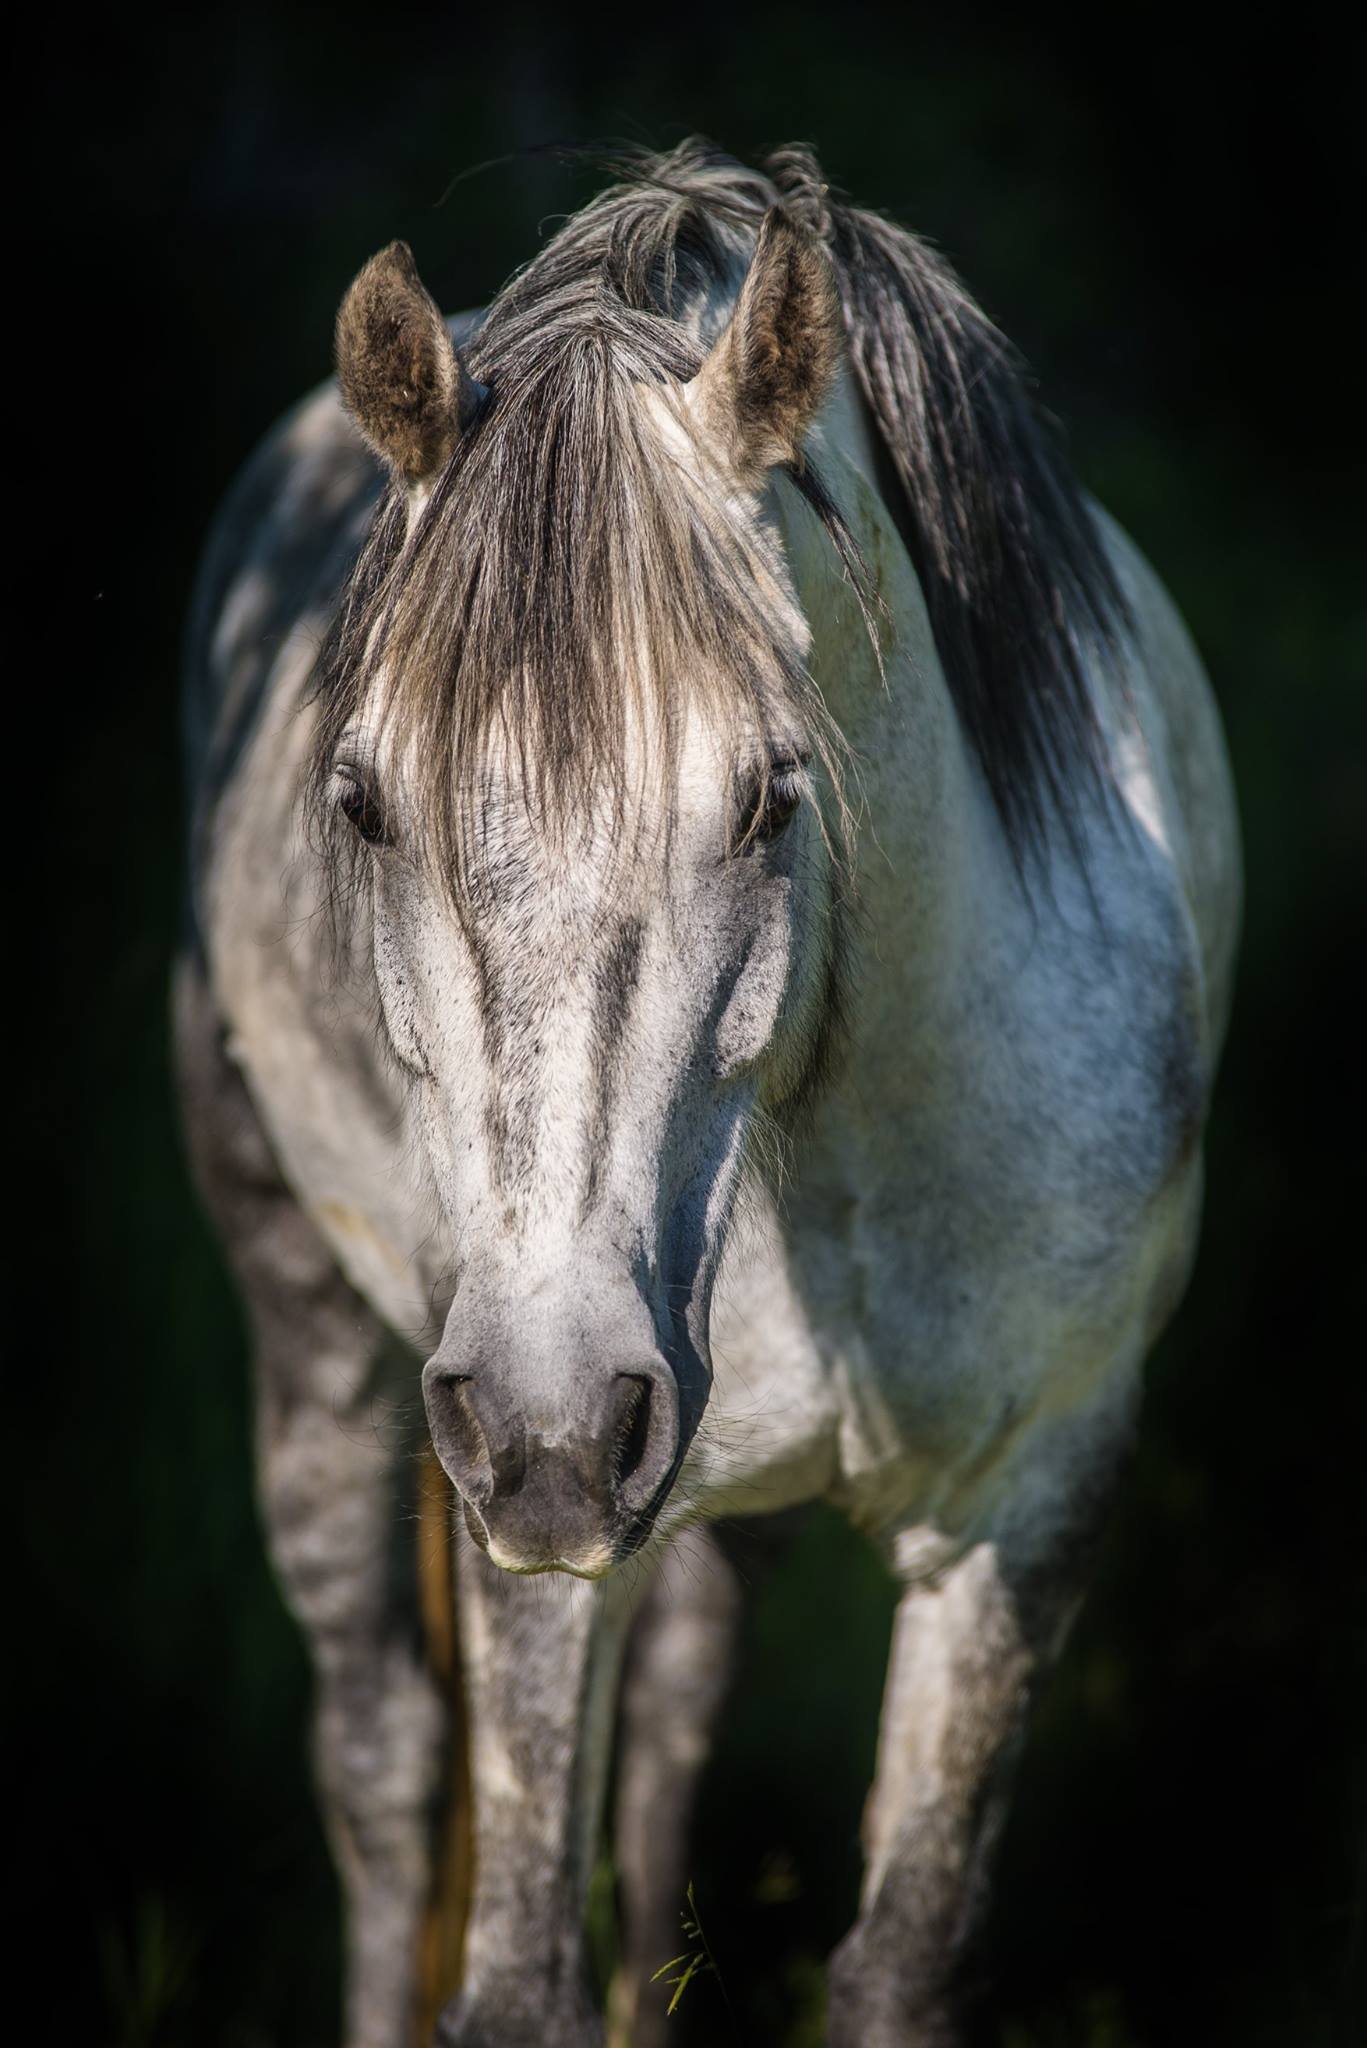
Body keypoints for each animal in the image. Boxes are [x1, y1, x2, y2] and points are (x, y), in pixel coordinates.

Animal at [176, 148, 1246, 2048]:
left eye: (768, 795)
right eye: (361, 800)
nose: (544, 1427)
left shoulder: (1028, 1506)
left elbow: (896, 1957)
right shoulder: (533, 1557)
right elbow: (511, 1959)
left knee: (669, 1727)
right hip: (312, 1326)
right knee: (380, 1760)